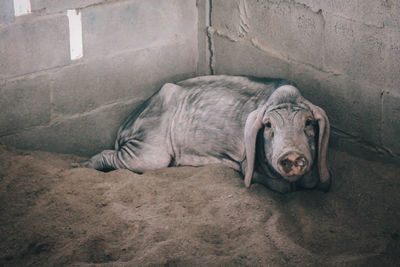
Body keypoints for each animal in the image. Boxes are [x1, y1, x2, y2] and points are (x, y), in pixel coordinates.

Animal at [76, 75, 332, 193]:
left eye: (308, 122)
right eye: (269, 126)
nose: (291, 154)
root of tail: (125, 126)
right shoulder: (246, 162)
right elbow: (279, 185)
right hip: (148, 145)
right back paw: (77, 167)